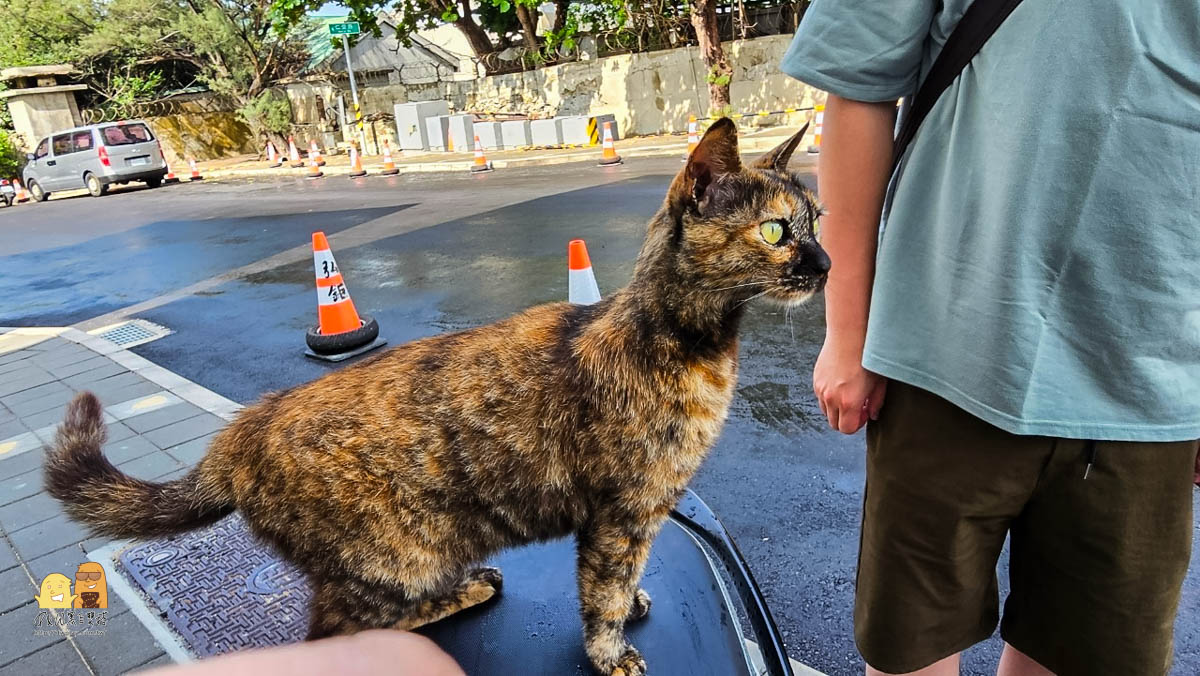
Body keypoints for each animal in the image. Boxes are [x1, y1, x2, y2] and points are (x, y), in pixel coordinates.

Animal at [42, 118, 820, 672]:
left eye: (815, 220)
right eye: (776, 230)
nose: (827, 262)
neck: (683, 342)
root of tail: (240, 432)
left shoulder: (635, 516)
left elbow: (621, 584)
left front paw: (632, 607)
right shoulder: (622, 512)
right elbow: (602, 591)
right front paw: (611, 650)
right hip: (392, 560)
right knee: (335, 635)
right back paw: (463, 592)